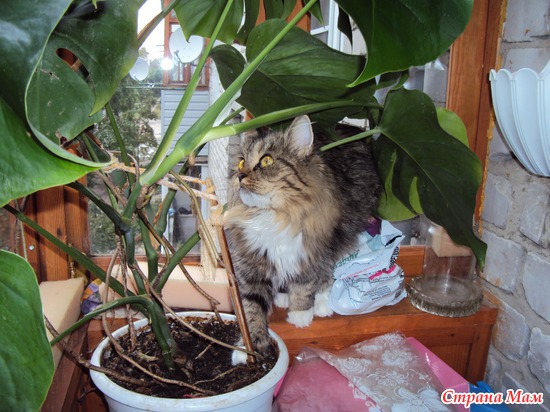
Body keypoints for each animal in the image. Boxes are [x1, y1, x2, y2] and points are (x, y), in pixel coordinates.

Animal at [224, 115, 382, 363]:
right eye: (241, 163)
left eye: (266, 161)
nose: (239, 176)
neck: (275, 215)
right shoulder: (250, 263)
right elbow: (250, 311)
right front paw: (249, 349)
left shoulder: (311, 250)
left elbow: (305, 284)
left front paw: (301, 314)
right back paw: (282, 296)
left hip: (341, 234)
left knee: (327, 272)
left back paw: (323, 303)